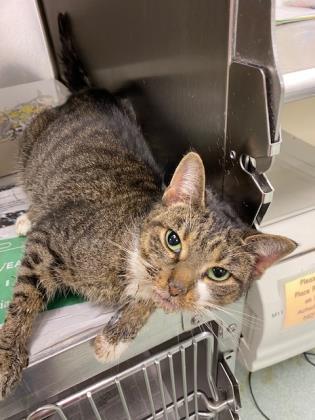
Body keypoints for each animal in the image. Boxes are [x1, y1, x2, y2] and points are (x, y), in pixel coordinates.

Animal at [0, 13, 298, 398]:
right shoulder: (49, 237)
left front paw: (116, 335)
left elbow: (151, 303)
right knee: (36, 193)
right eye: (173, 240)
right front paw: (7, 355)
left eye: (218, 273)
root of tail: (92, 93)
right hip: (30, 145)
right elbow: (25, 298)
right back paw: (24, 217)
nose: (176, 287)